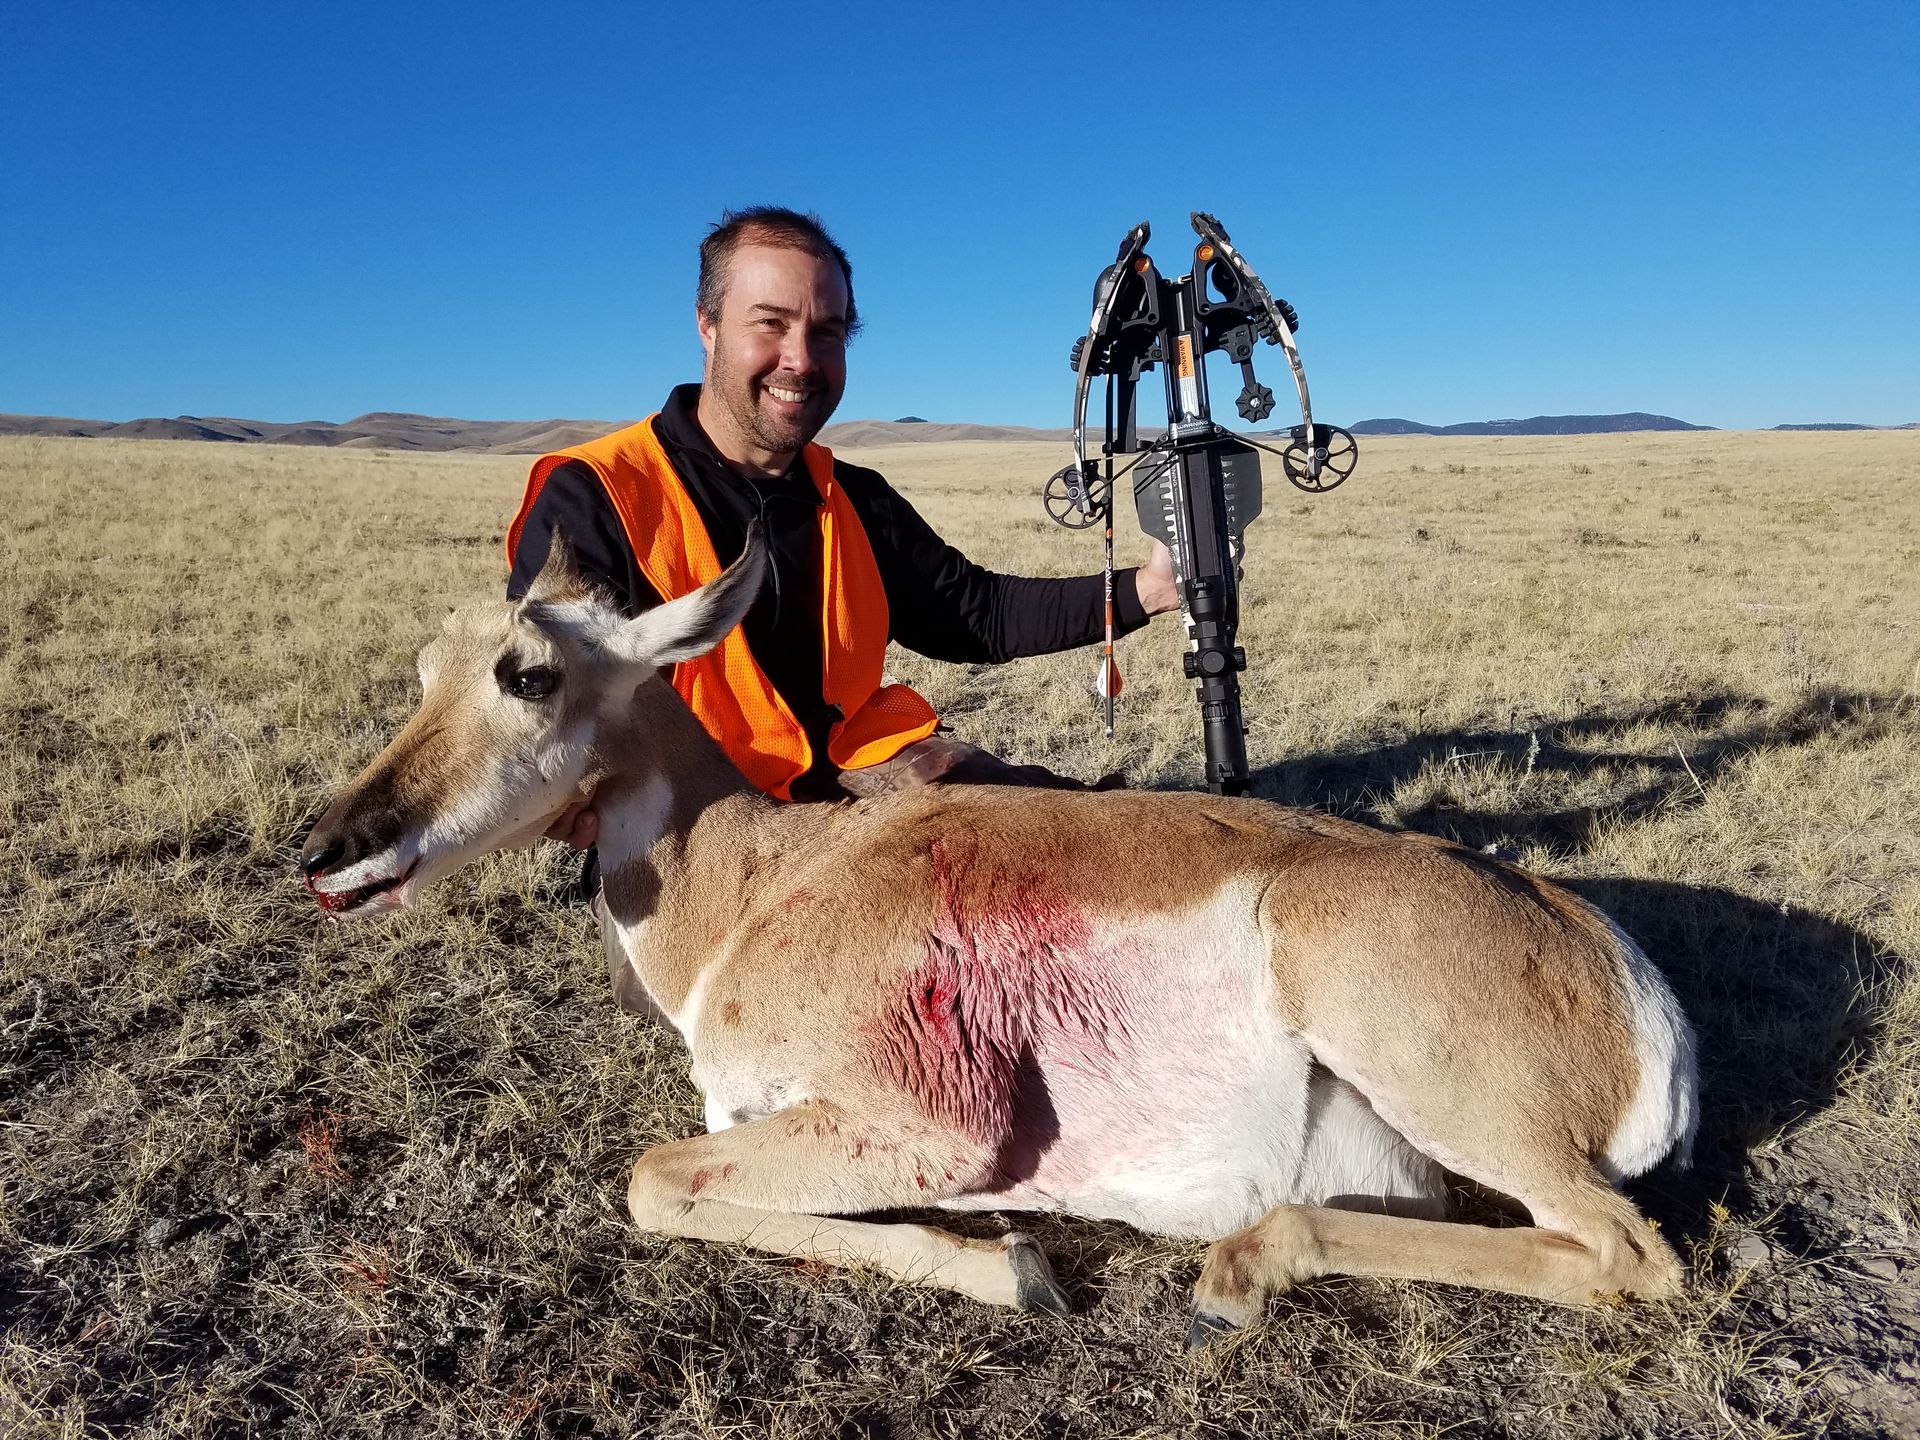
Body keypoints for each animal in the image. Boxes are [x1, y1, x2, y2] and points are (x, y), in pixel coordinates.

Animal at [300, 529, 1698, 1343]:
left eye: (528, 673)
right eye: (424, 667)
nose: (325, 854)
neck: (763, 880)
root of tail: (1618, 973)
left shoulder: (931, 1128)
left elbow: (653, 1181)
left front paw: (1015, 1266)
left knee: (1626, 1252)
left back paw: (1235, 1273)